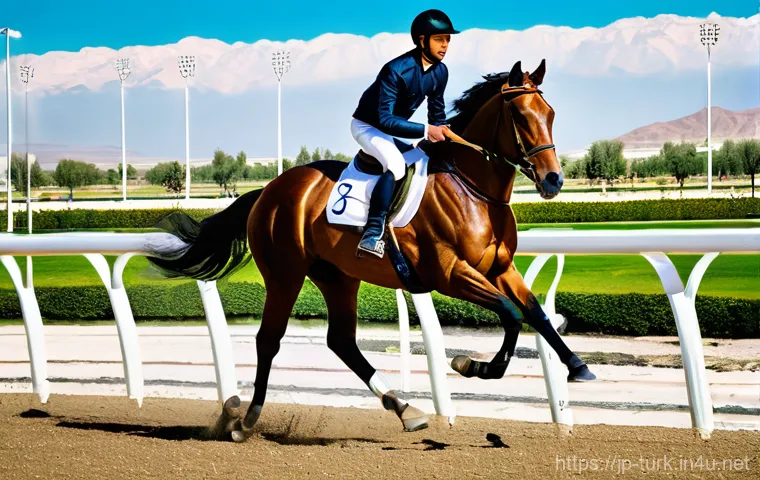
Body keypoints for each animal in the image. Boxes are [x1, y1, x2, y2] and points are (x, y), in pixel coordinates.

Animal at [147, 59, 596, 443]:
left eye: (550, 113)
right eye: (520, 116)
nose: (553, 180)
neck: (473, 189)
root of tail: (268, 191)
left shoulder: (500, 267)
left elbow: (535, 312)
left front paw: (578, 366)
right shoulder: (450, 274)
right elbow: (511, 313)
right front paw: (474, 365)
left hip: (337, 276)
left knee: (341, 341)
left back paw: (404, 408)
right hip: (284, 273)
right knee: (268, 339)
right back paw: (245, 418)